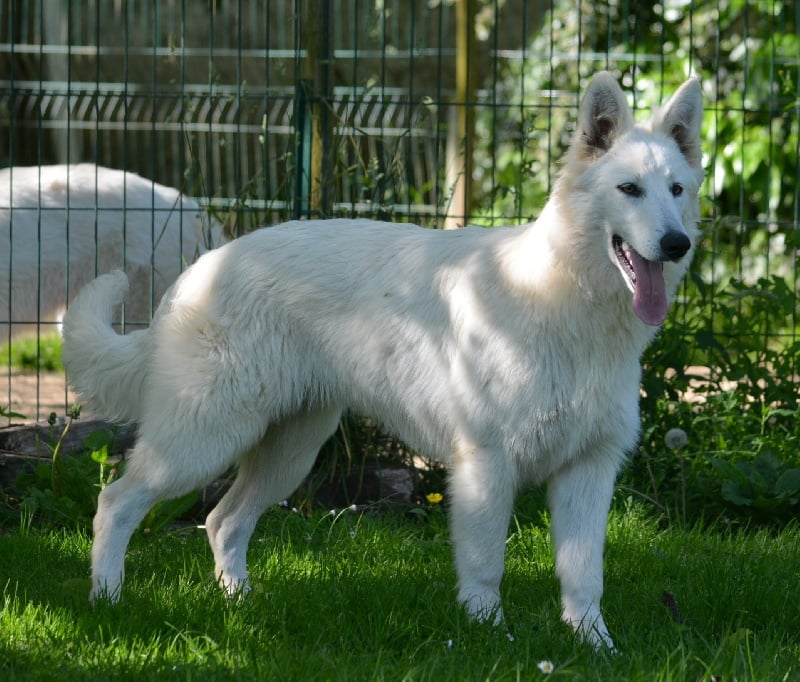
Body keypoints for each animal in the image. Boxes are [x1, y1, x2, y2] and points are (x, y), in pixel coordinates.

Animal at [61, 71, 700, 644]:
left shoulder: (587, 471)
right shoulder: (487, 467)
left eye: (676, 190)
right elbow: (486, 568)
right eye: (629, 189)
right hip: (203, 440)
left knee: (223, 522)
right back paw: (108, 601)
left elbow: (585, 578)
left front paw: (594, 646)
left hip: (289, 450)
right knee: (116, 503)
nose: (677, 244)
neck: (567, 299)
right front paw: (490, 637)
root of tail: (202, 269)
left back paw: (240, 604)